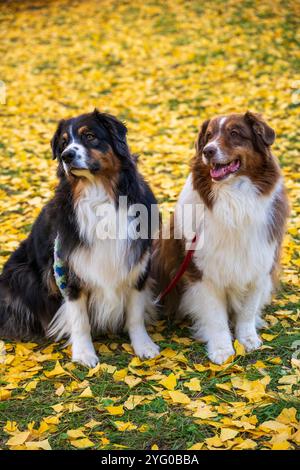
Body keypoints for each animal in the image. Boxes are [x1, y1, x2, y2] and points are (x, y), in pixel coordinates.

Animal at [0, 110, 161, 368]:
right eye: (63, 143)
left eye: (90, 136)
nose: (67, 155)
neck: (98, 192)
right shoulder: (67, 268)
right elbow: (79, 317)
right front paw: (84, 353)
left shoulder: (138, 264)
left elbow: (135, 313)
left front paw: (143, 346)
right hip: (21, 273)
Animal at [152, 112, 288, 366]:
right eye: (208, 136)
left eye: (235, 133)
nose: (208, 151)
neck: (233, 199)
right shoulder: (202, 271)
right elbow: (215, 316)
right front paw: (222, 349)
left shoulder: (259, 264)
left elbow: (247, 310)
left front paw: (248, 339)